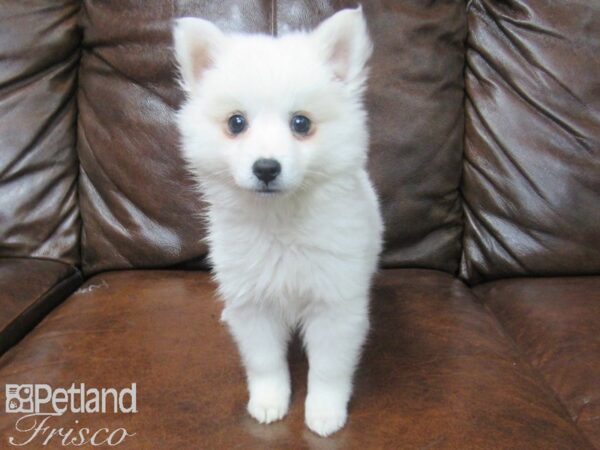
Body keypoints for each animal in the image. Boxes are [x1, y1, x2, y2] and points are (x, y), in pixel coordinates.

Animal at [173, 7, 382, 436]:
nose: (266, 167)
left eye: (301, 124)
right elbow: (265, 361)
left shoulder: (335, 304)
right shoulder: (253, 303)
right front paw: (269, 402)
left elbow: (328, 368)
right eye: (236, 123)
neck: (279, 220)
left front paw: (324, 412)